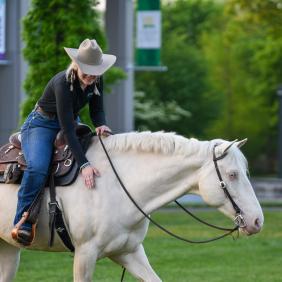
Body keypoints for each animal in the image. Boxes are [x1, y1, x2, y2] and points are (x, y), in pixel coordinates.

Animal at [0, 133, 264, 282]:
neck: (117, 186)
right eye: (232, 174)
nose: (257, 221)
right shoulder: (85, 254)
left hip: (9, 249)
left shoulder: (129, 252)